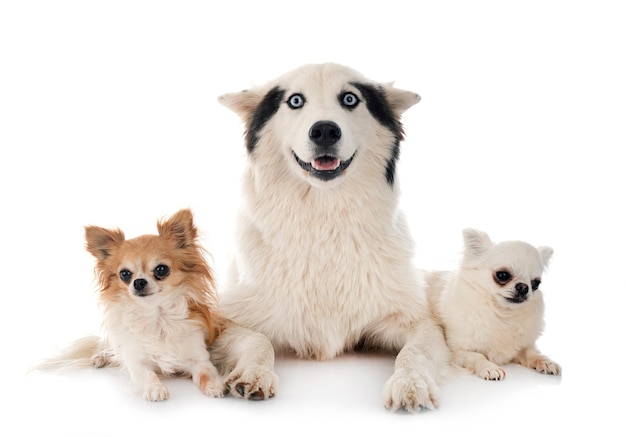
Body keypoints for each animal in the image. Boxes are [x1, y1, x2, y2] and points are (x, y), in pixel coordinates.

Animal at [210, 63, 448, 410]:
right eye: (295, 101)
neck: (325, 217)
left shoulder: (418, 320)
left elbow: (413, 351)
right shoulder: (223, 315)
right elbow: (258, 339)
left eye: (350, 98)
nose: (324, 131)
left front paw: (410, 383)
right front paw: (255, 373)